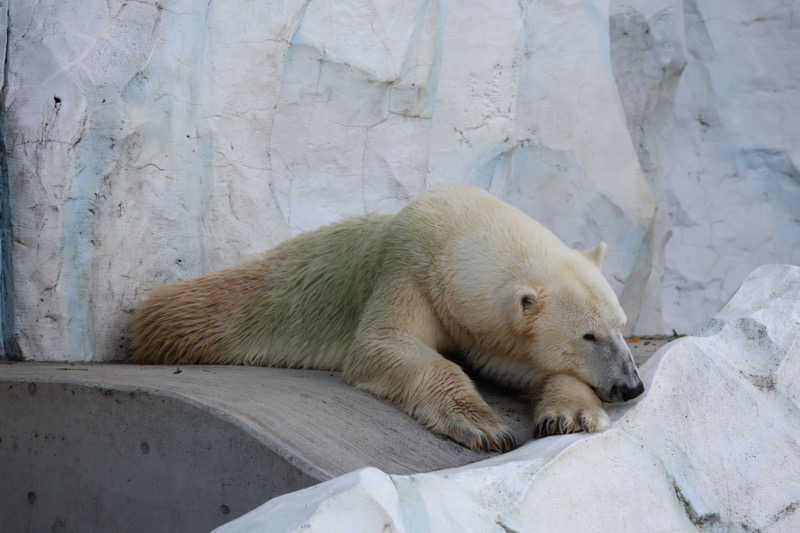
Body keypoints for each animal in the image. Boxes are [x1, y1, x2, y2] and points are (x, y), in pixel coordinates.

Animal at [133, 183, 644, 448]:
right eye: (588, 336)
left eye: (620, 327)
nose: (632, 386)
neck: (458, 234)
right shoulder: (409, 268)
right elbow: (384, 343)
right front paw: (486, 426)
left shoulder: (483, 329)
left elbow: (527, 368)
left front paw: (570, 416)